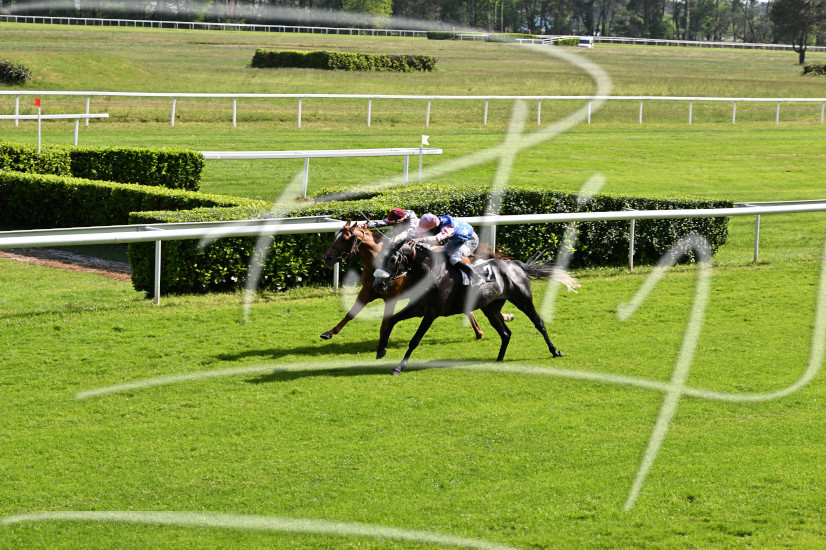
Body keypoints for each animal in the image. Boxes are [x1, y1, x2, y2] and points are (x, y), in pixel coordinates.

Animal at [320, 221, 487, 346]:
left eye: (344, 238)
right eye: (336, 237)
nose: (327, 258)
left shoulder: (391, 297)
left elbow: (385, 322)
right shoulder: (367, 291)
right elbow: (351, 313)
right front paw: (329, 332)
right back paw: (478, 333)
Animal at [373, 239, 580, 375]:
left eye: (392, 259)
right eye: (378, 257)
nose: (378, 285)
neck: (430, 272)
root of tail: (514, 264)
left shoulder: (431, 312)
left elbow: (415, 340)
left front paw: (399, 367)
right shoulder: (417, 308)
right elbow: (392, 320)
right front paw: (381, 350)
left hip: (523, 300)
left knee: (539, 323)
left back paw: (555, 351)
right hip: (490, 308)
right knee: (505, 333)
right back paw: (499, 359)